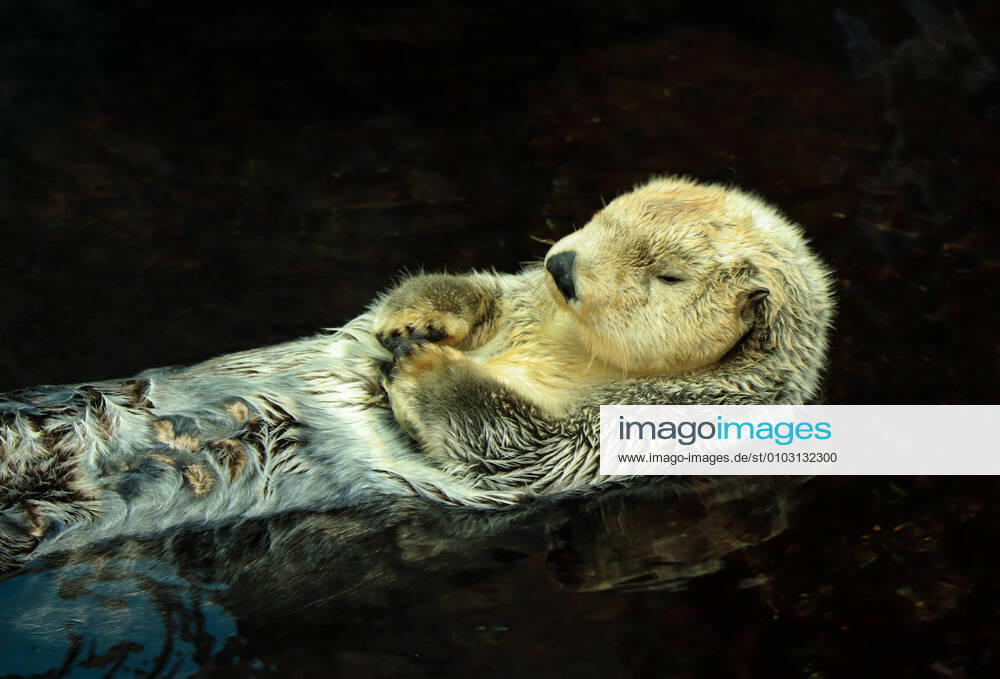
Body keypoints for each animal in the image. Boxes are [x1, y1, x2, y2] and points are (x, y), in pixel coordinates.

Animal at [0, 176, 834, 572]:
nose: (564, 265)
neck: (575, 344)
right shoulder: (518, 296)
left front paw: (422, 362)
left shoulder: (629, 429)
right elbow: (477, 291)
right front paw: (411, 322)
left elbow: (516, 441)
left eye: (665, 275)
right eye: (606, 213)